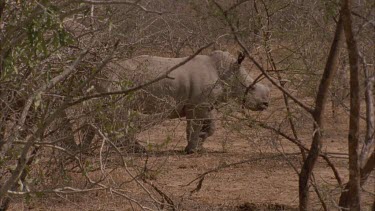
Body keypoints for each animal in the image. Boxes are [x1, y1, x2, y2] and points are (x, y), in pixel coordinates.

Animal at [103, 51, 270, 153]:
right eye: (252, 88)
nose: (266, 104)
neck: (227, 73)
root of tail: (104, 73)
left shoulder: (204, 104)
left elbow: (209, 126)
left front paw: (199, 144)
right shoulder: (197, 105)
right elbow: (195, 126)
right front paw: (192, 150)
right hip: (118, 82)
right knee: (119, 114)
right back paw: (133, 150)